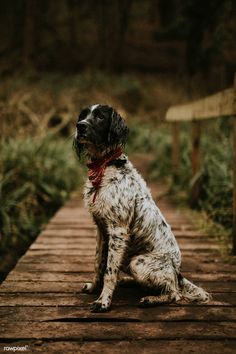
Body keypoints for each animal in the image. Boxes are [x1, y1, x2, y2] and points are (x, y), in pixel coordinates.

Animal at [74, 103, 210, 312]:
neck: (105, 167)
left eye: (100, 117)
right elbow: (98, 263)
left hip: (137, 262)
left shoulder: (117, 230)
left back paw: (150, 299)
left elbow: (109, 271)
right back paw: (130, 282)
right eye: (83, 115)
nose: (79, 126)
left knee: (175, 293)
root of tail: (177, 272)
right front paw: (93, 288)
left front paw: (103, 302)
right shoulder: (101, 229)